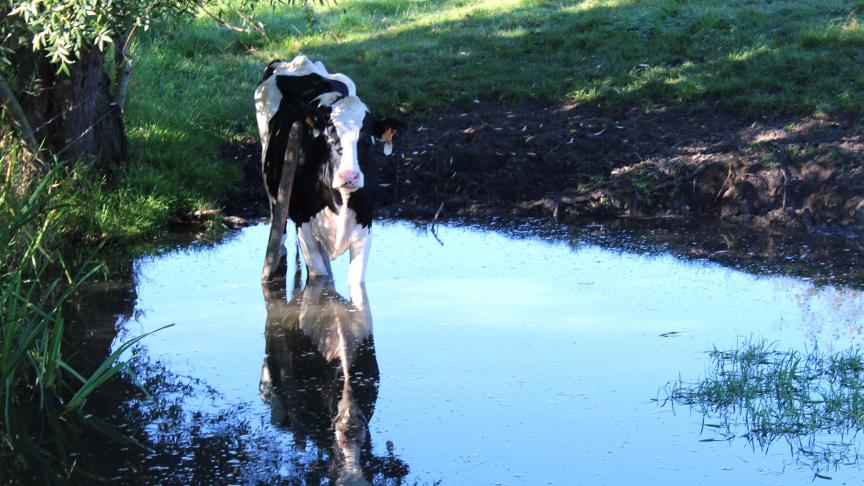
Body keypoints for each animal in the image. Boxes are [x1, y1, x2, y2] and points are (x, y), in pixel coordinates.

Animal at [251, 54, 404, 282]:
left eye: (367, 139)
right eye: (329, 136)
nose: (349, 176)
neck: (341, 202)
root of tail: (298, 60)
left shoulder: (364, 228)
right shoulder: (305, 229)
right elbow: (320, 278)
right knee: (278, 224)